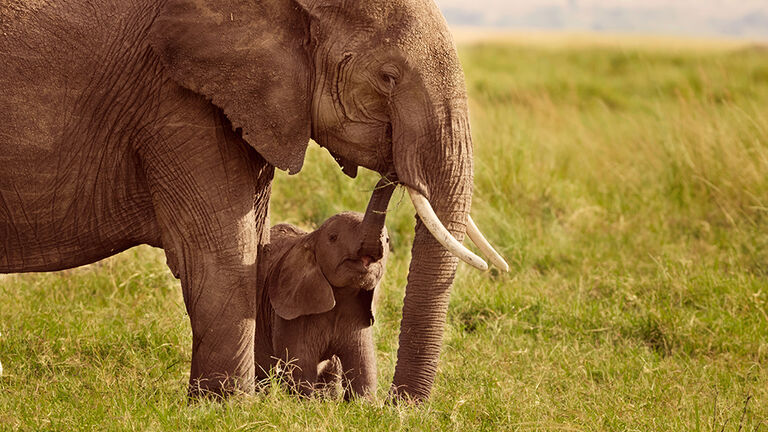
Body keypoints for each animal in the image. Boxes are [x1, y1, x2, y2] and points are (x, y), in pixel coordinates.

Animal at [256, 211, 390, 400]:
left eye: (387, 240)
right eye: (333, 238)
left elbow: (363, 368)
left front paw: (363, 403)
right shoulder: (291, 314)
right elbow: (301, 368)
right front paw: (304, 402)